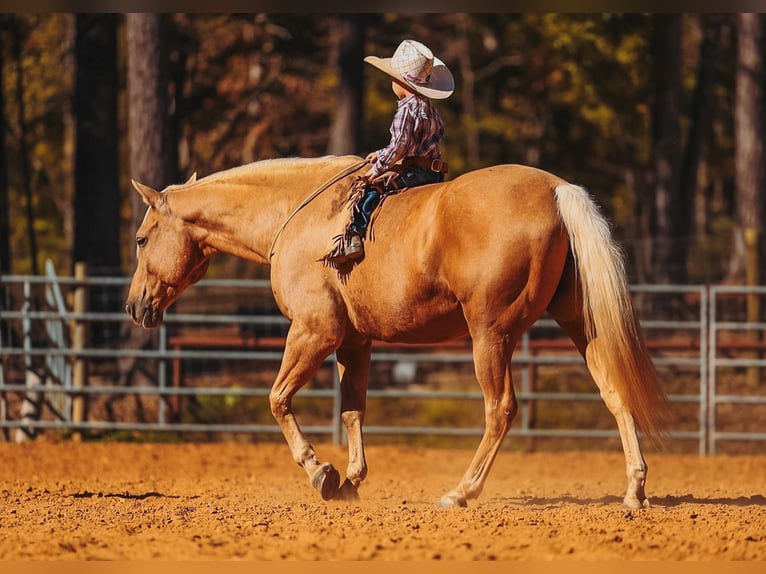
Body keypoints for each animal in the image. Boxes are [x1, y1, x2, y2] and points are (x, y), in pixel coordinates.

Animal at [125, 155, 670, 509]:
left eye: (142, 238)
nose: (134, 306)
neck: (296, 215)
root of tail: (556, 191)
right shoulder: (354, 342)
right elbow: (352, 410)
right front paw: (350, 481)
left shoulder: (313, 333)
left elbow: (278, 399)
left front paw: (320, 472)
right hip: (582, 326)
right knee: (615, 392)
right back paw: (634, 490)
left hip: (490, 336)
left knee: (500, 409)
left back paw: (461, 492)